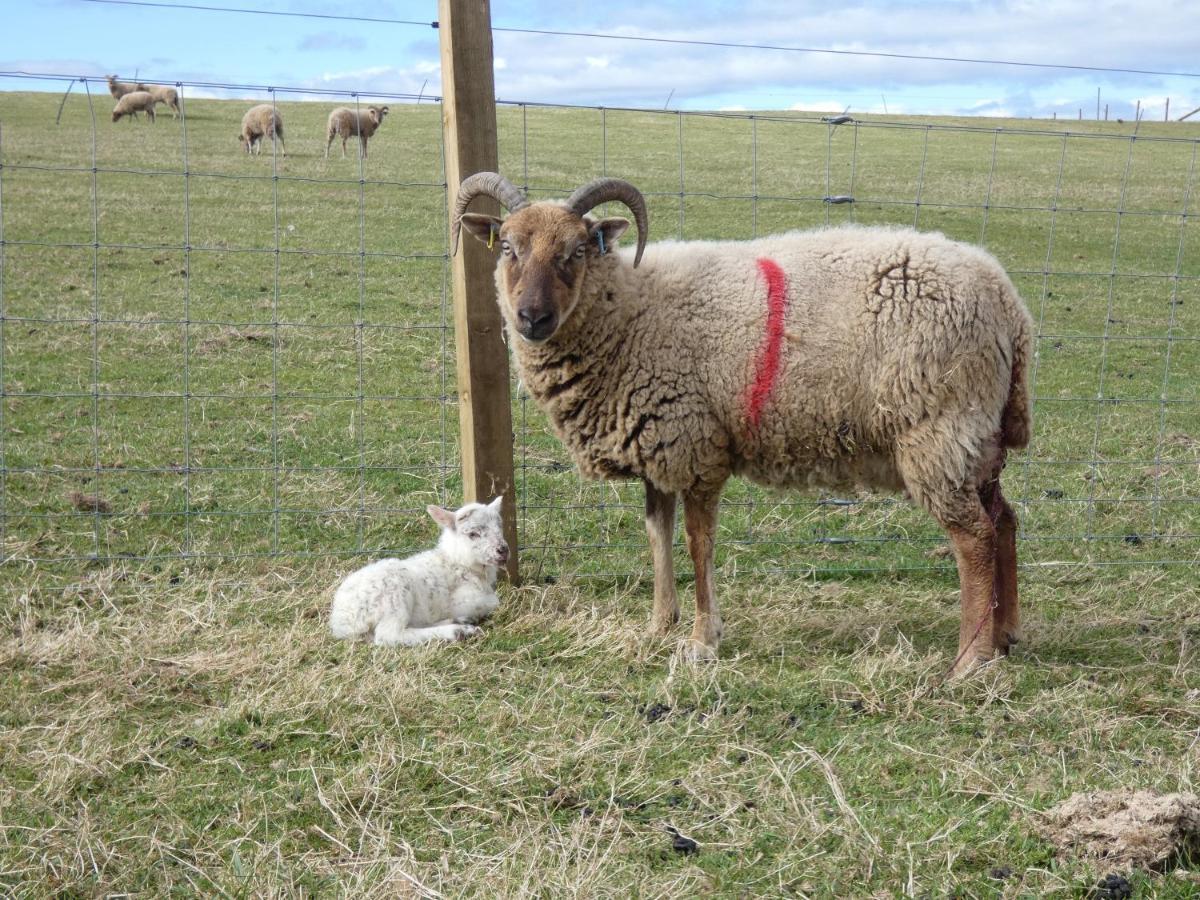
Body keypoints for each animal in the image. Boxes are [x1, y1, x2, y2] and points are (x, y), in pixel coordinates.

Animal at [328, 494, 506, 648]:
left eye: (500, 527)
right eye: (473, 534)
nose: (503, 550)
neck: (456, 561)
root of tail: (341, 621)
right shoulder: (461, 600)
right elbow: (494, 601)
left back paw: (458, 622)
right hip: (392, 597)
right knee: (389, 635)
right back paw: (457, 631)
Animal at [453, 170, 1036, 676]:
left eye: (576, 251)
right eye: (507, 248)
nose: (532, 319)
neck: (628, 311)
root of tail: (1009, 302)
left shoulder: (695, 449)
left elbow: (697, 545)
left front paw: (700, 641)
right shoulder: (656, 446)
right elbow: (657, 538)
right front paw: (658, 626)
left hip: (938, 429)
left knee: (975, 539)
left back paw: (969, 661)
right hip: (978, 438)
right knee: (1003, 521)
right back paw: (1006, 636)